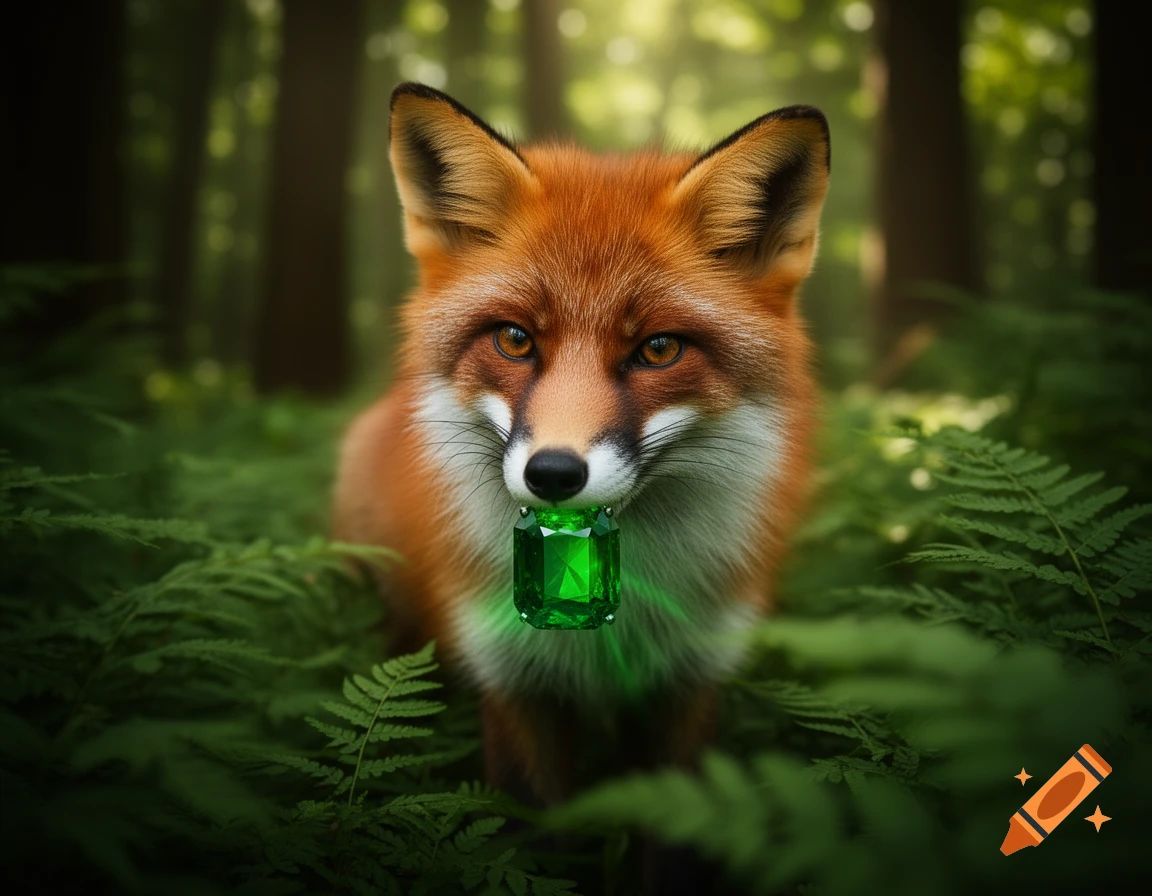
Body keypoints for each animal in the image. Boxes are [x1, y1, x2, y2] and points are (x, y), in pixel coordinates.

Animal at [334, 81, 829, 884]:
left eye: (658, 349)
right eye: (514, 339)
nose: (554, 474)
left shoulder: (688, 686)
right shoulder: (514, 684)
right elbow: (535, 849)